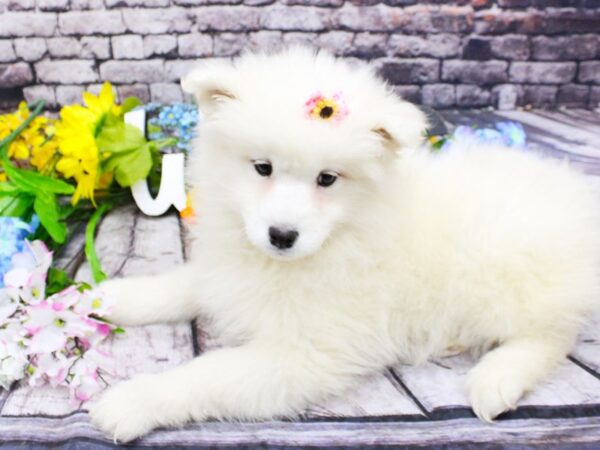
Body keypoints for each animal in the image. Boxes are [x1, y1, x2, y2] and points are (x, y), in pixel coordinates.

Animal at [89, 47, 600, 442]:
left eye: (327, 179)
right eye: (262, 168)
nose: (282, 235)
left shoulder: (305, 353)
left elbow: (207, 375)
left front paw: (134, 400)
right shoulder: (229, 272)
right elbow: (181, 285)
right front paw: (107, 297)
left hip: (511, 271)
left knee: (552, 335)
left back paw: (497, 377)